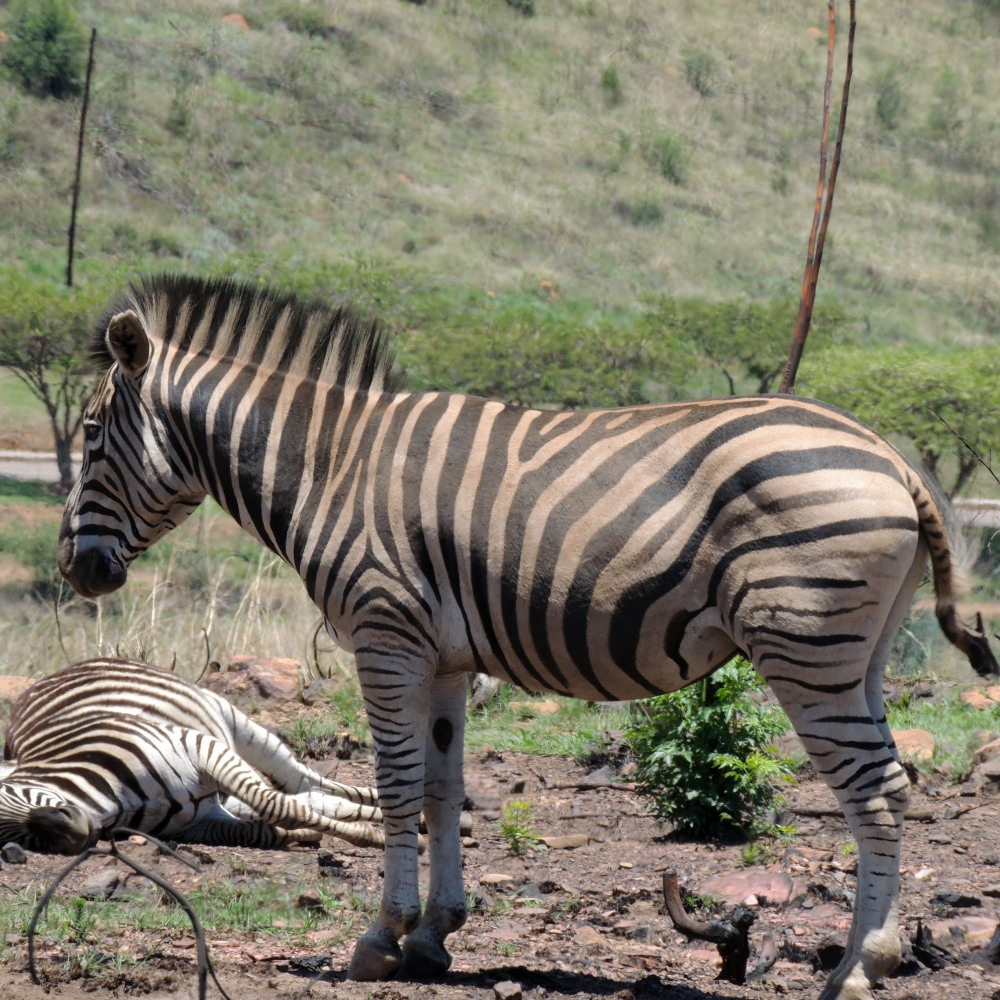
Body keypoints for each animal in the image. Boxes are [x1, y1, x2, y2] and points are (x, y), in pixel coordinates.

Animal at [1, 657, 386, 852]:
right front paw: (305, 836)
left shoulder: (198, 746)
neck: (114, 804)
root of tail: (54, 673)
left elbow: (279, 808)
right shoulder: (202, 823)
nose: (75, 836)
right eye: (12, 836)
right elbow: (260, 830)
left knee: (307, 782)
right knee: (314, 796)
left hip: (239, 726)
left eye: (11, 792)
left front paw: (370, 837)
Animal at [56, 274, 998, 1000]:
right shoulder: (441, 657)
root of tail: (890, 455)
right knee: (892, 785)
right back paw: (866, 957)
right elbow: (444, 789)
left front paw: (380, 938)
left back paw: (859, 967)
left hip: (805, 644)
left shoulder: (384, 634)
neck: (330, 468)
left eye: (93, 435)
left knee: (876, 791)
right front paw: (434, 936)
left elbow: (397, 787)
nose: (75, 569)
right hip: (858, 652)